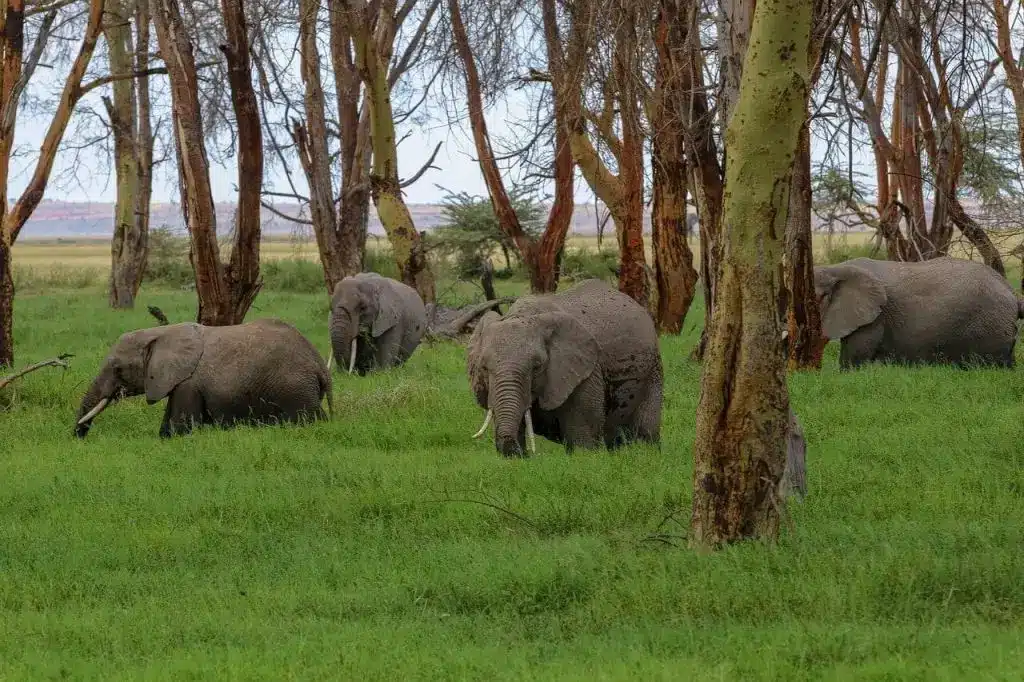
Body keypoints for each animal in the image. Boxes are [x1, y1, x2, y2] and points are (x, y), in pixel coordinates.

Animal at [75, 318, 333, 438]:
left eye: (118, 369)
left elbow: (180, 428)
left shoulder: (189, 384)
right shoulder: (178, 381)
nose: (79, 437)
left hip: (296, 388)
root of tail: (320, 365)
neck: (161, 333)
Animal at [467, 278, 663, 456]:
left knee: (646, 427)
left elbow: (583, 433)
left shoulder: (587, 370)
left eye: (537, 367)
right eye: (483, 368)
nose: (526, 454)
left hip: (653, 367)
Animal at [814, 257, 1024, 369]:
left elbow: (853, 359)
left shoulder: (874, 318)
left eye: (818, 298)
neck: (834, 268)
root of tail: (1012, 294)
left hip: (990, 326)